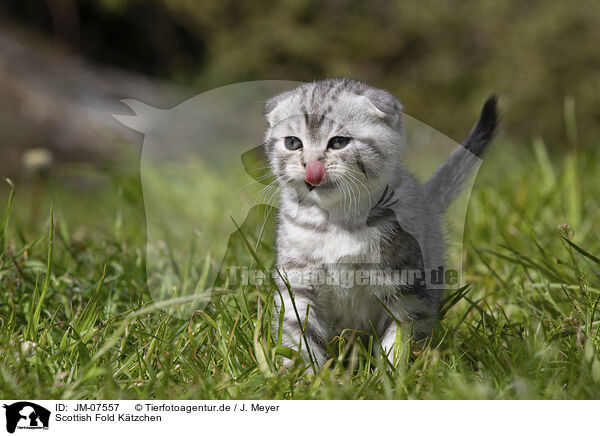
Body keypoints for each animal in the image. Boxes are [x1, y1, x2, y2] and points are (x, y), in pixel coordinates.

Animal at [264, 79, 500, 368]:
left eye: (339, 142)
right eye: (293, 142)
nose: (311, 166)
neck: (337, 222)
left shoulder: (405, 289)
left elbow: (399, 337)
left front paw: (393, 373)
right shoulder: (298, 285)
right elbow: (300, 334)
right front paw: (305, 375)